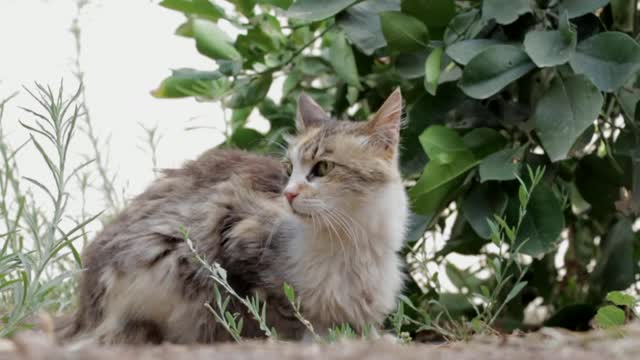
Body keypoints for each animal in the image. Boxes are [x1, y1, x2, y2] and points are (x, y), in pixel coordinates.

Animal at [57, 88, 408, 344]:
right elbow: (284, 317)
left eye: (322, 168)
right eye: (288, 169)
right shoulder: (233, 228)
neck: (351, 243)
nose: (288, 194)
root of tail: (82, 312)